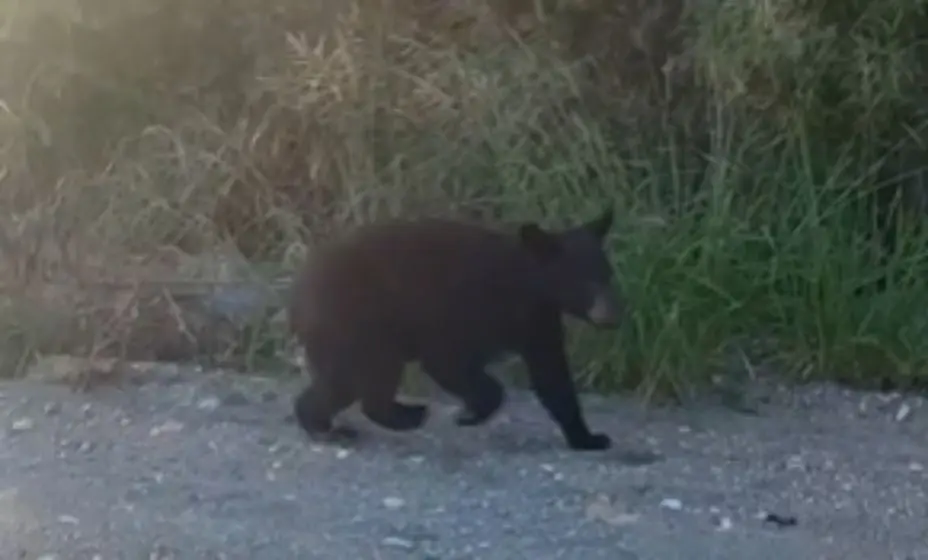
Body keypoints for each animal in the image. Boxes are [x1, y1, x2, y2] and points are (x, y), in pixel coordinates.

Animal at [287, 208, 622, 451]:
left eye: (607, 275)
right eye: (583, 281)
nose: (612, 316)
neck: (525, 287)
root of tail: (298, 290)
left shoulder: (538, 323)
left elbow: (552, 377)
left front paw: (590, 438)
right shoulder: (462, 310)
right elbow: (447, 362)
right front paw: (471, 413)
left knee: (355, 381)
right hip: (358, 322)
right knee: (362, 377)